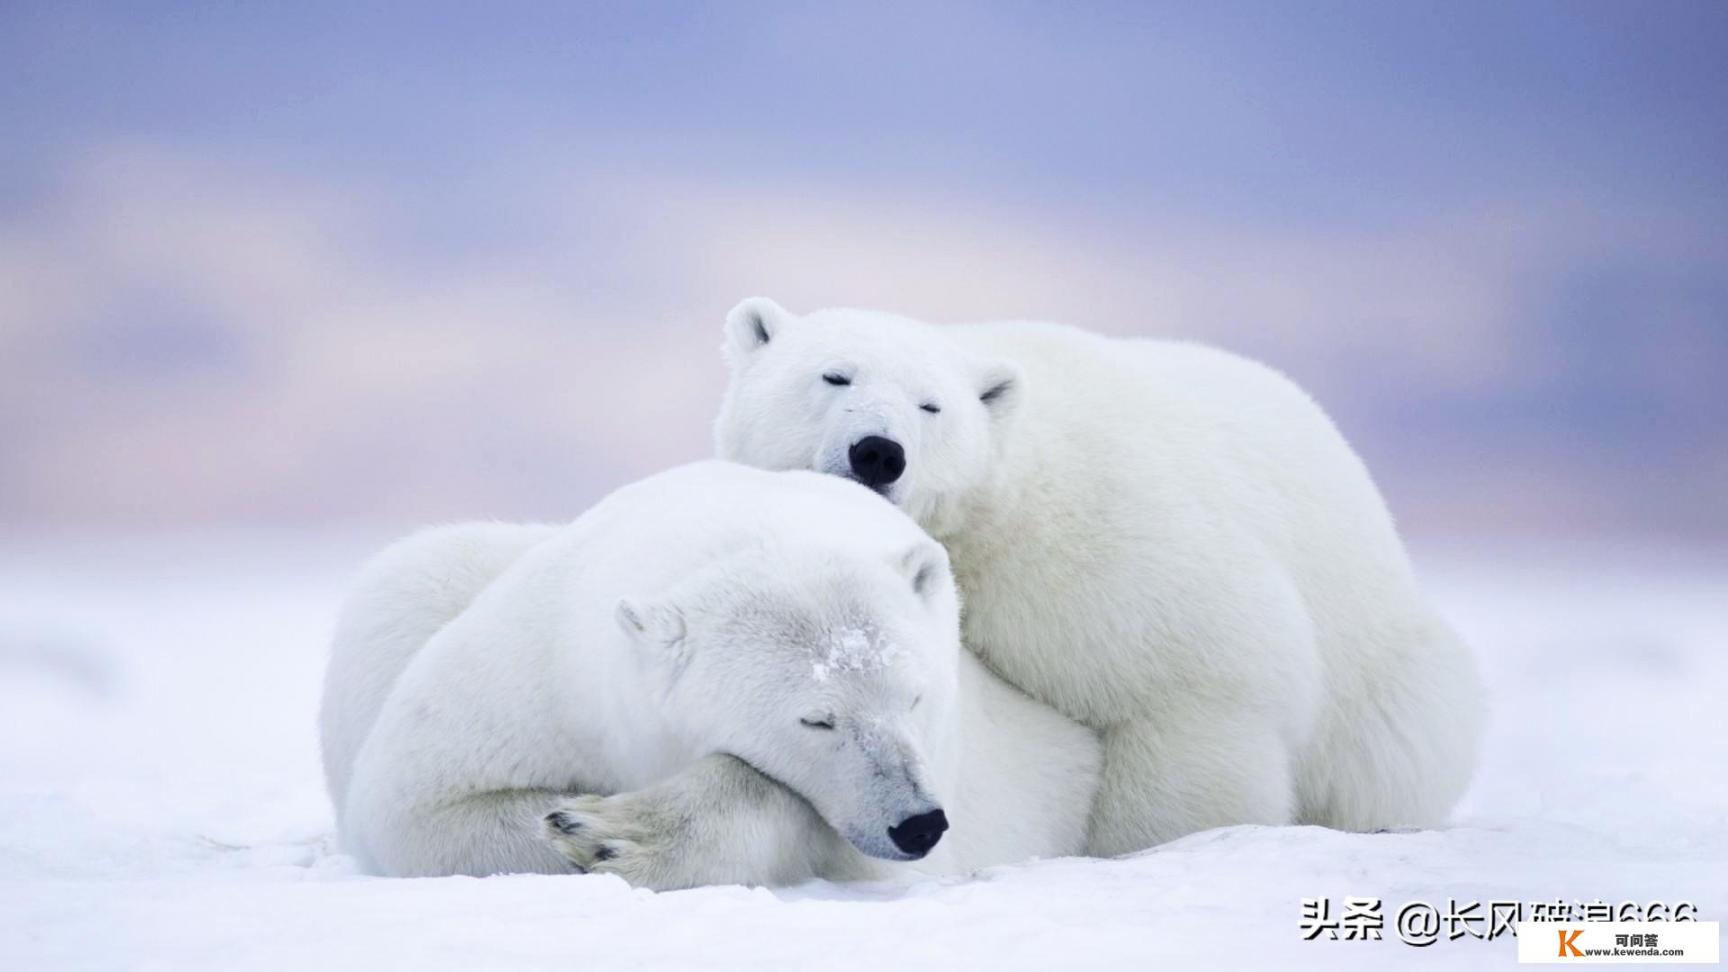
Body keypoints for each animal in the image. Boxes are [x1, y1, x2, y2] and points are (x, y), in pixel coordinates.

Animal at [715, 299, 1486, 850]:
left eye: (931, 405)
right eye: (834, 375)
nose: (878, 451)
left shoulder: (1104, 552)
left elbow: (1196, 688)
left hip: (1383, 676)